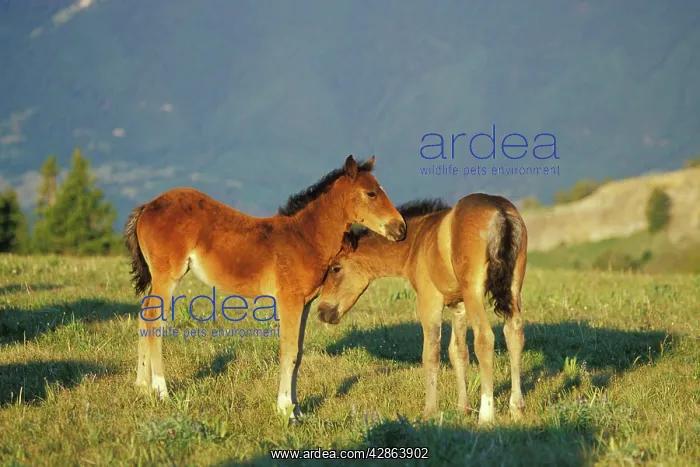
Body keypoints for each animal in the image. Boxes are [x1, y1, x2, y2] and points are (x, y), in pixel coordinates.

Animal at [123, 155, 407, 422]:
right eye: (371, 193)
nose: (401, 228)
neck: (305, 239)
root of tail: (148, 206)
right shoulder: (288, 301)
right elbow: (289, 351)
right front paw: (285, 411)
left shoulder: (304, 304)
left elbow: (298, 353)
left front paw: (298, 409)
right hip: (168, 276)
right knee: (155, 322)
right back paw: (161, 391)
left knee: (144, 316)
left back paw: (142, 387)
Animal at [316, 194, 528, 425]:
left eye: (335, 269)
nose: (321, 311)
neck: (417, 242)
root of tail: (499, 212)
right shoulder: (458, 306)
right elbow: (458, 352)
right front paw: (463, 409)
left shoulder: (429, 302)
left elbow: (431, 355)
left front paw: (430, 412)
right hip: (513, 289)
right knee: (514, 334)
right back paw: (517, 408)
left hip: (475, 293)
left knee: (484, 339)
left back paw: (486, 416)